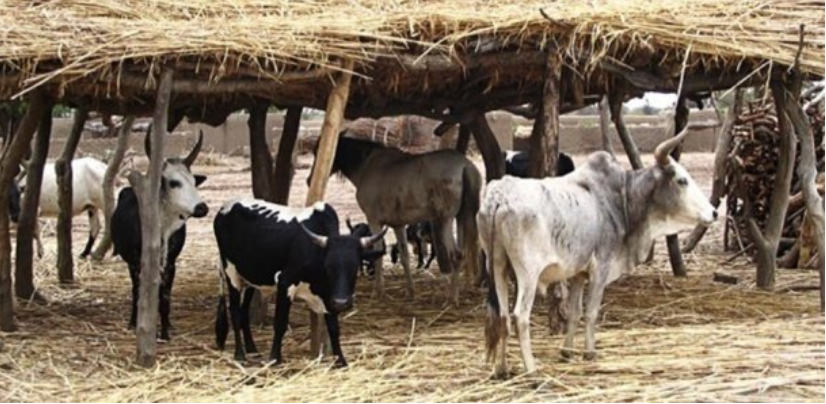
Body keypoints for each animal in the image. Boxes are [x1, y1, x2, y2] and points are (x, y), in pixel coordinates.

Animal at [216, 199, 390, 366]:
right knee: (235, 312)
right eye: (328, 266)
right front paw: (275, 359)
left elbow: (334, 327)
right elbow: (280, 323)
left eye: (354, 267)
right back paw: (240, 355)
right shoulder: (285, 283)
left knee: (244, 312)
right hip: (231, 274)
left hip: (251, 279)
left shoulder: (329, 295)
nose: (342, 302)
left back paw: (252, 350)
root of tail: (224, 208)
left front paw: (340, 360)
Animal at [476, 124, 716, 378]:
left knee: (502, 315)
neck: (621, 199)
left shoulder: (578, 273)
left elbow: (574, 312)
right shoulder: (601, 267)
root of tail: (498, 196)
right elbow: (591, 311)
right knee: (520, 316)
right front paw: (590, 353)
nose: (713, 212)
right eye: (682, 180)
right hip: (527, 274)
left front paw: (567, 351)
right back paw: (531, 370)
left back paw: (501, 368)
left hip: (498, 267)